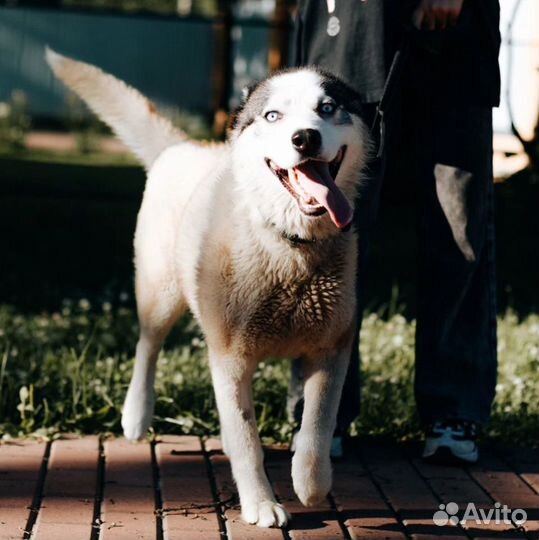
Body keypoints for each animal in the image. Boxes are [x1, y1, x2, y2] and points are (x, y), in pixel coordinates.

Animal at [46, 50, 370, 528]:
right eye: (272, 115)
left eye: (327, 108)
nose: (305, 138)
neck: (289, 247)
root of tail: (183, 147)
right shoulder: (230, 358)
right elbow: (247, 441)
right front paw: (260, 503)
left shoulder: (332, 349)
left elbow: (316, 429)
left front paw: (311, 485)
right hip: (160, 295)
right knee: (147, 346)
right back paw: (136, 414)